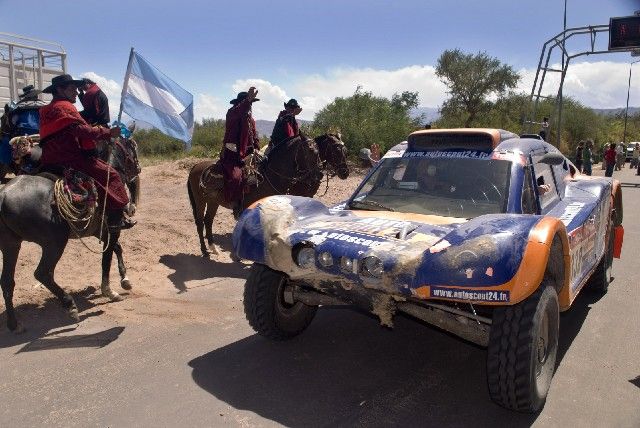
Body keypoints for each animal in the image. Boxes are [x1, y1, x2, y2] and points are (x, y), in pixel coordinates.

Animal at [0, 135, 141, 332]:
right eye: (132, 148)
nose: (138, 170)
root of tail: (3, 196)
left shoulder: (99, 230)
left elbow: (117, 249)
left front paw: (125, 279)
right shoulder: (113, 227)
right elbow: (107, 257)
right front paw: (109, 290)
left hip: (10, 244)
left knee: (7, 281)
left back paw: (14, 324)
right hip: (54, 243)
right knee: (43, 273)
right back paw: (69, 305)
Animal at [188, 132, 350, 256]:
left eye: (345, 150)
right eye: (310, 151)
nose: (345, 172)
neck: (269, 176)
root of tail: (196, 166)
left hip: (213, 201)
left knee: (208, 221)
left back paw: (213, 248)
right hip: (200, 200)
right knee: (200, 222)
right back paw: (204, 250)